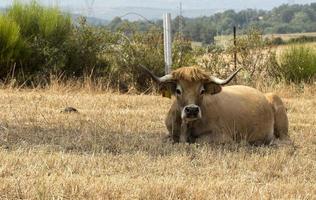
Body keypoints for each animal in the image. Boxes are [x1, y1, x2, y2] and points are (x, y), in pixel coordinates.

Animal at [141, 65, 292, 145]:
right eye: (178, 90)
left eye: (202, 91)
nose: (192, 110)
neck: (187, 127)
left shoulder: (223, 137)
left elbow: (199, 141)